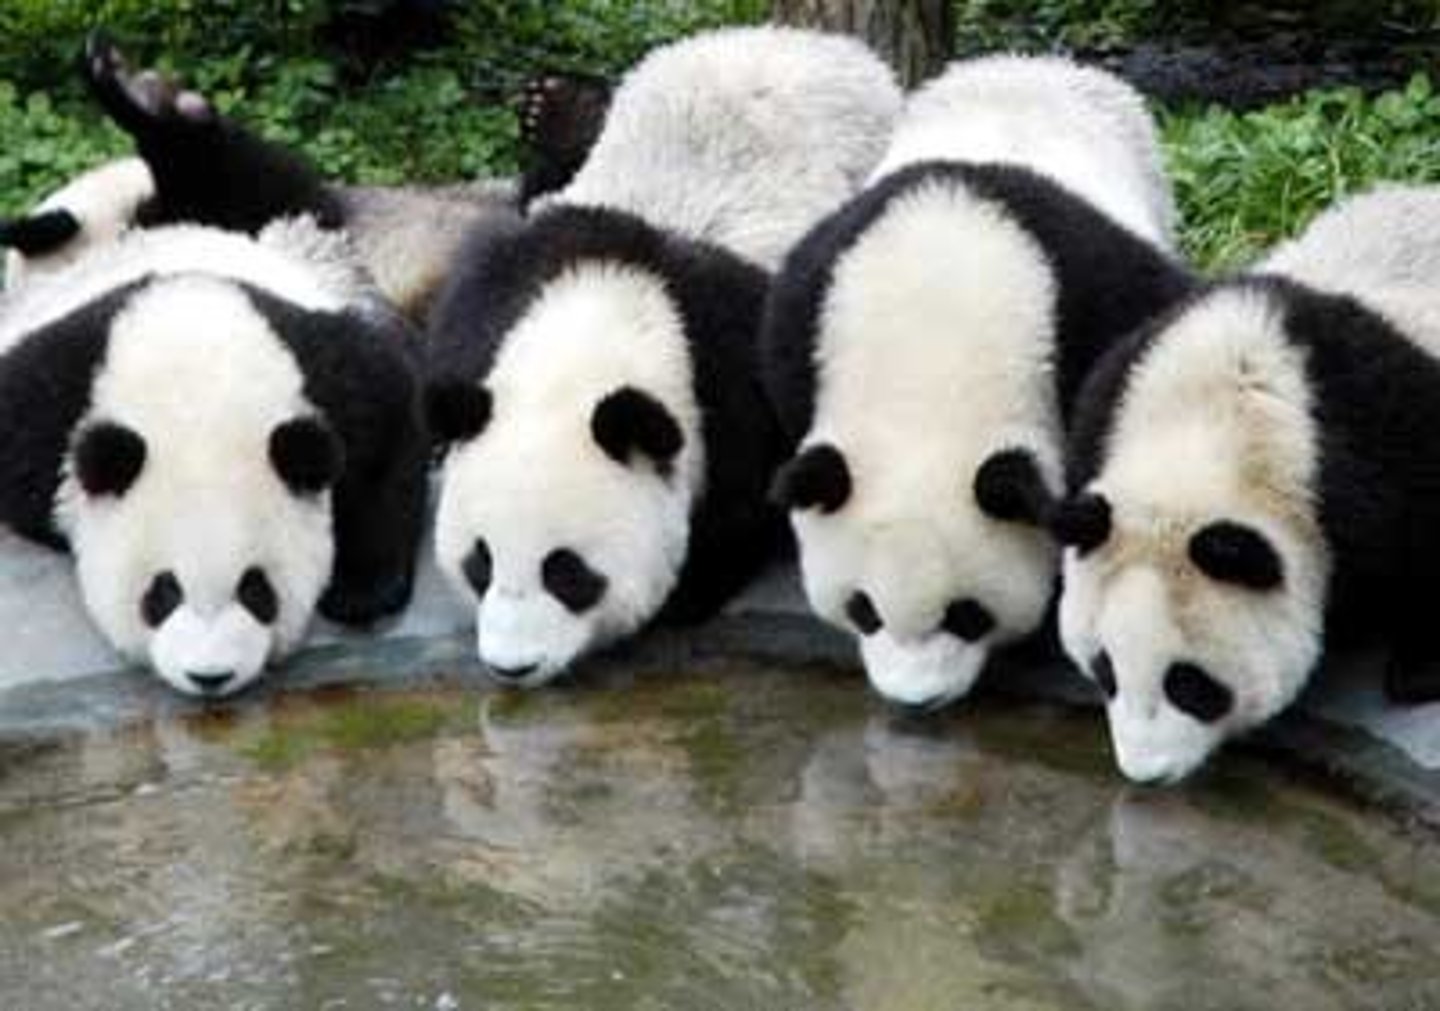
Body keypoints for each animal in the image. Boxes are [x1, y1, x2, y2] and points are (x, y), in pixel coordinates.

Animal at [0, 216, 430, 698]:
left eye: (256, 589)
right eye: (163, 592)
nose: (210, 676)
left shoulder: (330, 376)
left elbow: (387, 439)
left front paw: (361, 592)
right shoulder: (51, 397)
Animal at [424, 26, 902, 685]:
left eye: (567, 573)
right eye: (481, 561)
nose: (512, 667)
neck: (599, 316)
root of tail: (806, 38)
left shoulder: (732, 368)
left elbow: (741, 503)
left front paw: (686, 591)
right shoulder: (497, 292)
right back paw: (560, 111)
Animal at [761, 55, 1191, 710]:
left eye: (965, 615)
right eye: (864, 610)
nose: (914, 701)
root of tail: (1023, 63)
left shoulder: (1092, 305)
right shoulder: (809, 313)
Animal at [1056, 184, 1440, 784]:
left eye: (1189, 683)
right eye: (1105, 670)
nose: (1146, 772)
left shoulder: (1388, 445)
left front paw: (1420, 669)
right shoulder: (1113, 397)